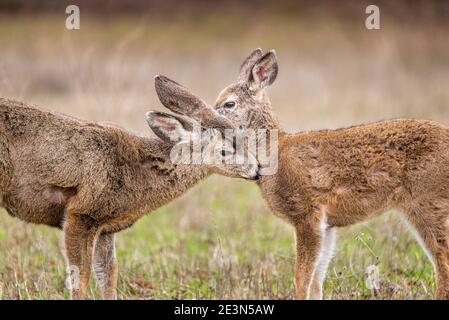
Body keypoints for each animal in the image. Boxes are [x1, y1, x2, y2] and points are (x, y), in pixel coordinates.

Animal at [0, 98, 260, 300]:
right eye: (224, 150)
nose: (257, 170)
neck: (134, 170)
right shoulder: (81, 213)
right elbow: (80, 277)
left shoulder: (105, 227)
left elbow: (108, 276)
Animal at [154, 48, 448, 300]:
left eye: (228, 103)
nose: (211, 121)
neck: (274, 154)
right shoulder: (327, 224)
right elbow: (317, 280)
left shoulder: (307, 214)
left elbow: (301, 277)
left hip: (427, 200)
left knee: (442, 258)